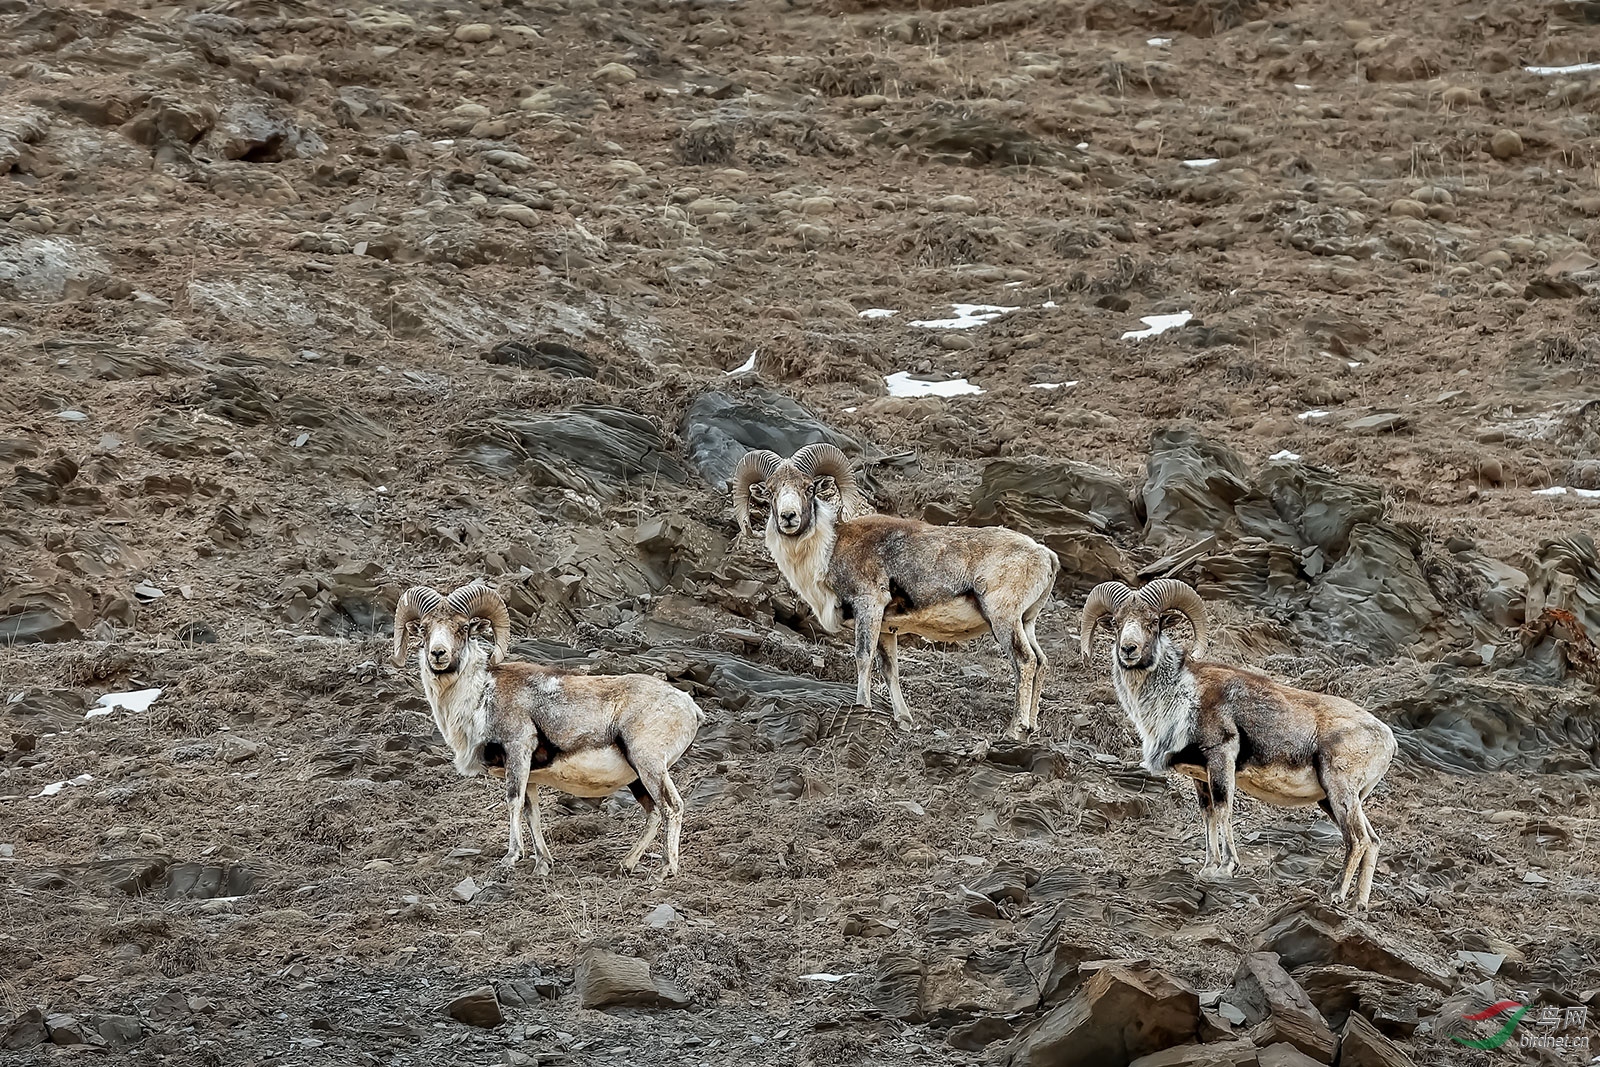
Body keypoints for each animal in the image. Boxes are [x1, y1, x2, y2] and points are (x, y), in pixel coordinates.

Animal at [392, 585, 700, 876]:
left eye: (463, 627)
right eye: (424, 628)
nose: (438, 654)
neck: (480, 695)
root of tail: (690, 708)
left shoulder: (518, 751)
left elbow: (513, 803)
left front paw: (511, 858)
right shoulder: (531, 776)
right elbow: (532, 814)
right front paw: (542, 864)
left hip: (648, 764)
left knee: (671, 807)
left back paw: (664, 871)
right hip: (638, 777)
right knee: (654, 813)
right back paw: (624, 865)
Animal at [732, 447, 1062, 739]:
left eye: (809, 487)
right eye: (771, 491)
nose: (788, 517)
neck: (828, 549)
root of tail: (1045, 555)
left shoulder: (869, 607)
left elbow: (862, 657)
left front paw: (862, 705)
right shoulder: (886, 628)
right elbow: (890, 669)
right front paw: (904, 720)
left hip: (1003, 618)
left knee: (1024, 661)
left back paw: (1015, 729)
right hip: (1026, 621)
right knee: (1041, 661)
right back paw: (1031, 728)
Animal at [1075, 579, 1401, 908]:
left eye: (1153, 622)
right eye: (1117, 623)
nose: (1128, 650)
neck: (1180, 695)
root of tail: (1388, 740)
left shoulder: (1221, 759)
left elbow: (1223, 810)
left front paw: (1227, 868)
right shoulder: (1200, 776)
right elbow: (1207, 814)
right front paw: (1208, 868)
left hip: (1339, 790)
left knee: (1358, 839)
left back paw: (1336, 894)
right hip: (1338, 800)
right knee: (1373, 840)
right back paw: (1359, 904)